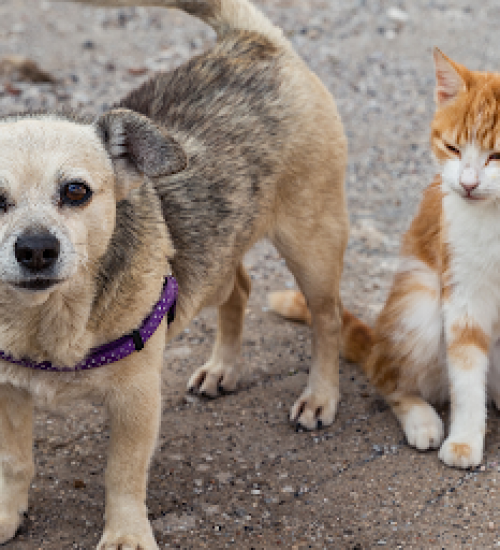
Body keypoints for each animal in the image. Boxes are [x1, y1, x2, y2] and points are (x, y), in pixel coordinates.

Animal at [0, 2, 348, 548]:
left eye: (76, 191)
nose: (36, 248)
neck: (48, 321)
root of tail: (251, 40)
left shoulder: (136, 399)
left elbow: (122, 474)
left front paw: (125, 536)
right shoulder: (9, 392)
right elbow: (14, 463)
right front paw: (6, 515)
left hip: (311, 243)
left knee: (327, 320)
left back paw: (319, 396)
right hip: (223, 252)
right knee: (239, 288)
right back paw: (223, 367)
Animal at [270, 48, 500, 470]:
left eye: (496, 155)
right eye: (453, 148)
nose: (468, 184)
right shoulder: (463, 292)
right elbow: (465, 374)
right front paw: (464, 440)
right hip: (420, 298)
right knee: (386, 374)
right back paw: (420, 416)